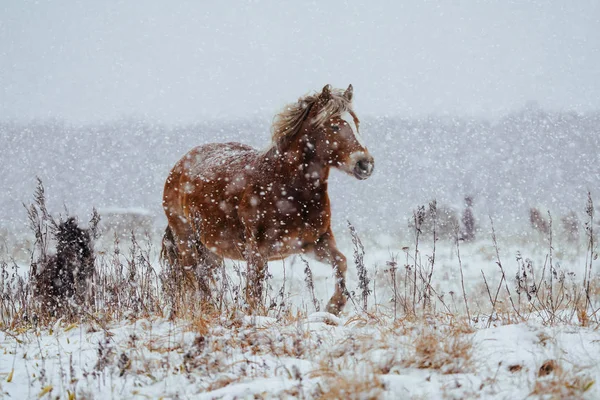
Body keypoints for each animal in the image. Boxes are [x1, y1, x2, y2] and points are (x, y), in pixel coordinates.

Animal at [162, 84, 372, 316]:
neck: (288, 190)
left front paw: (333, 307)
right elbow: (254, 292)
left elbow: (341, 262)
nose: (365, 164)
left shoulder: (313, 243)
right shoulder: (257, 253)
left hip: (210, 249)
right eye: (334, 126)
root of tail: (180, 165)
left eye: (357, 123)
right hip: (186, 239)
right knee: (195, 277)